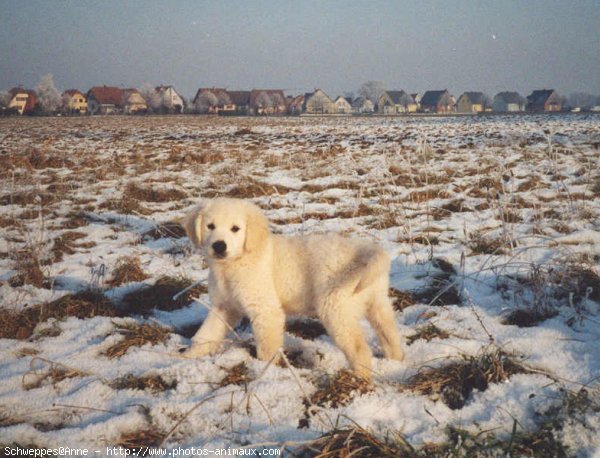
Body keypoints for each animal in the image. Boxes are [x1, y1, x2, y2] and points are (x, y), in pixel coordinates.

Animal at [179, 198, 404, 380]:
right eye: (210, 226)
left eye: (235, 228)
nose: (219, 246)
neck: (234, 263)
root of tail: (364, 251)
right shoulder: (224, 307)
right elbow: (207, 333)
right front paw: (188, 356)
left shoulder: (265, 309)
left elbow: (267, 345)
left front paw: (265, 370)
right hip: (377, 304)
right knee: (390, 334)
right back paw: (396, 361)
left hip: (336, 309)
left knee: (359, 348)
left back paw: (359, 377)